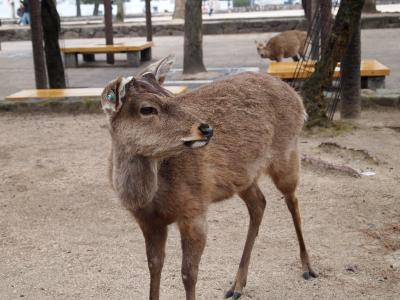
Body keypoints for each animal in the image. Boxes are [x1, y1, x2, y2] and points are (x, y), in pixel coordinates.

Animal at [101, 56, 318, 300]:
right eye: (147, 109)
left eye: (171, 95)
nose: (206, 129)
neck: (149, 198)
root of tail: (296, 96)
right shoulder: (147, 221)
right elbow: (154, 267)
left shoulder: (195, 210)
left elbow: (188, 274)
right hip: (244, 177)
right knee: (259, 203)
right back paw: (236, 286)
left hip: (287, 155)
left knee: (292, 200)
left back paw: (308, 267)